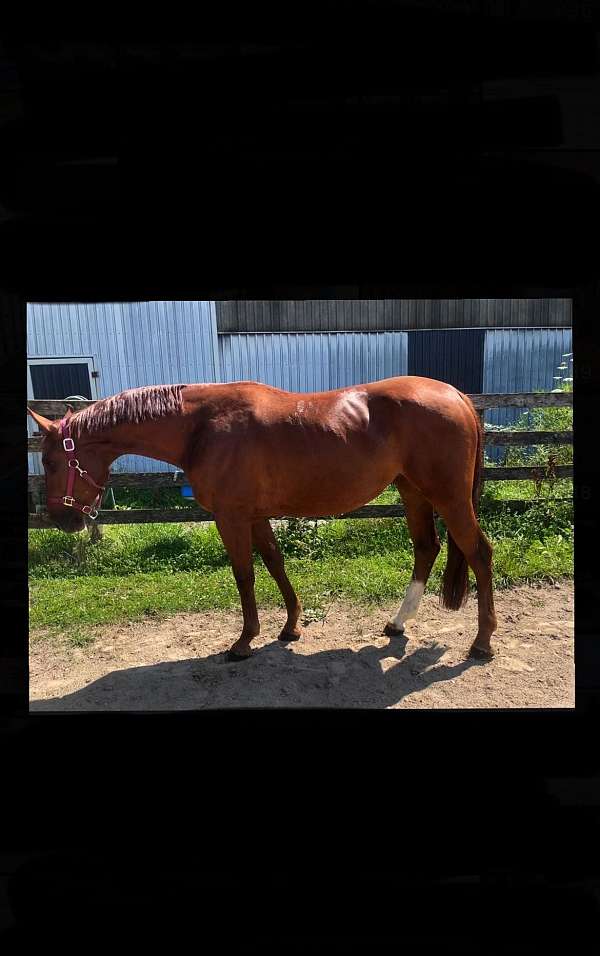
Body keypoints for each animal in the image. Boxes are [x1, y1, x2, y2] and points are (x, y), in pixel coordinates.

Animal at [29, 378, 496, 660]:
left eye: (50, 461)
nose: (60, 519)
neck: (202, 425)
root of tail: (455, 396)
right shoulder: (254, 516)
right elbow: (274, 562)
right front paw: (291, 626)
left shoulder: (231, 518)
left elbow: (245, 575)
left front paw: (244, 640)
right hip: (412, 491)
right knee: (426, 548)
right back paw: (397, 624)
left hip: (448, 497)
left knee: (478, 552)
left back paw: (482, 641)